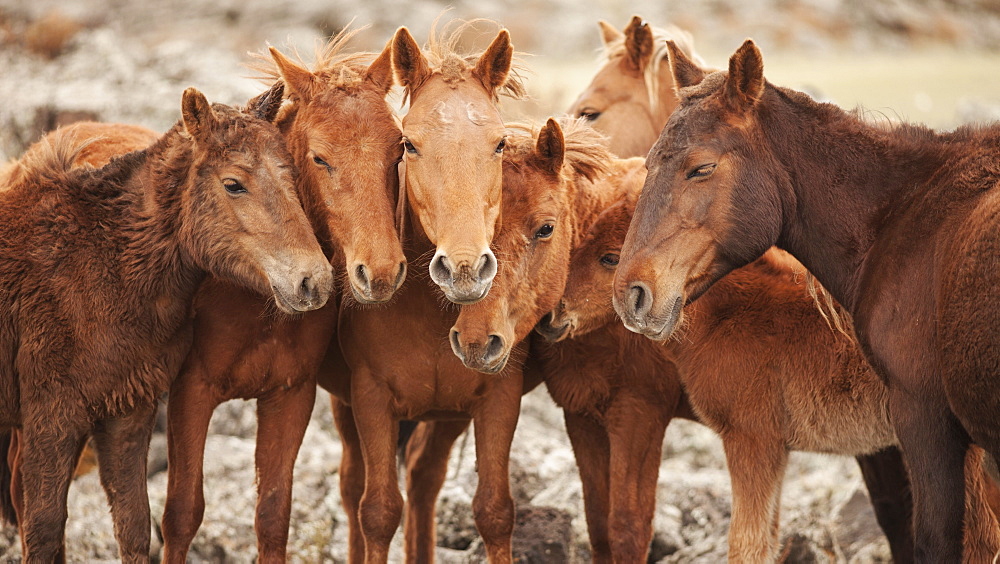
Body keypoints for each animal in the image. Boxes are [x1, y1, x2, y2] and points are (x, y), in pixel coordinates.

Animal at [0, 86, 332, 560]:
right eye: (233, 183)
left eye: (293, 175)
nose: (313, 280)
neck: (102, 262)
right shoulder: (52, 416)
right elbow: (44, 530)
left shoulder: (127, 411)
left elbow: (134, 525)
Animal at [158, 32, 404, 564]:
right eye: (319, 158)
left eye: (399, 152)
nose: (380, 273)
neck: (256, 300)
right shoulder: (191, 392)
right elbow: (181, 513)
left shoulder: (290, 395)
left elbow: (272, 516)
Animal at [544, 182, 1000, 564]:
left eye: (609, 257)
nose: (551, 316)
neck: (733, 314)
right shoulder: (776, 449)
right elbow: (768, 538)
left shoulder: (751, 439)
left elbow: (746, 544)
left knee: (980, 537)